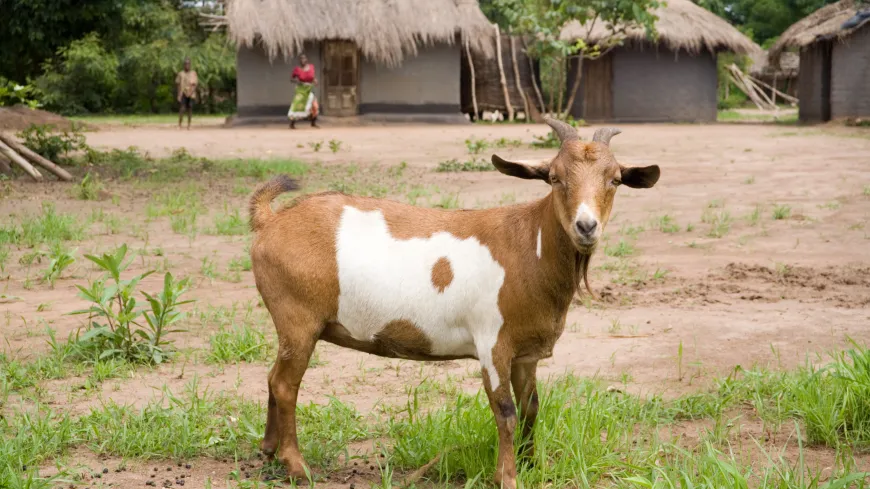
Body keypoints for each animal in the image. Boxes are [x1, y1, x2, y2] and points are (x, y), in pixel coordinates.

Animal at [249, 118, 660, 488]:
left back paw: (268, 450)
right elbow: (506, 411)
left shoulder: (525, 353)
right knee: (285, 384)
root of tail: (270, 221)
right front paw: (507, 477)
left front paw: (531, 465)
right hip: (298, 319)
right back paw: (297, 467)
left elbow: (531, 407)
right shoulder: (492, 342)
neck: (530, 245)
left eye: (615, 179)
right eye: (554, 177)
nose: (586, 226)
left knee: (272, 376)